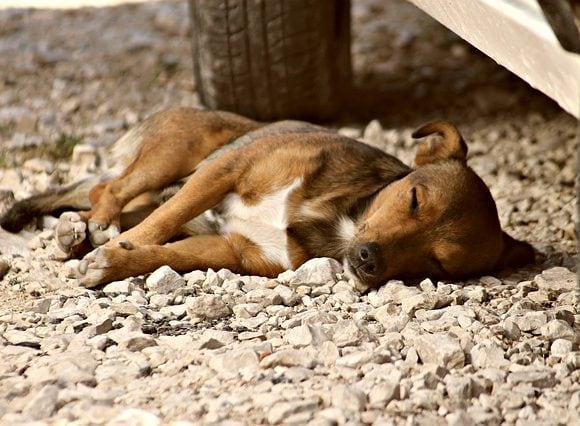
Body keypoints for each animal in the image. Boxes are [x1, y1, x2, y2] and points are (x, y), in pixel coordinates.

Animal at [0, 108, 536, 292]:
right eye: (414, 199)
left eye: (439, 263)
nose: (367, 259)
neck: (342, 218)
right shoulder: (227, 169)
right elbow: (162, 225)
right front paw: (116, 249)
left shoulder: (235, 251)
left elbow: (165, 253)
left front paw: (114, 262)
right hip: (180, 154)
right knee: (109, 190)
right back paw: (92, 228)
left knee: (101, 195)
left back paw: (78, 231)